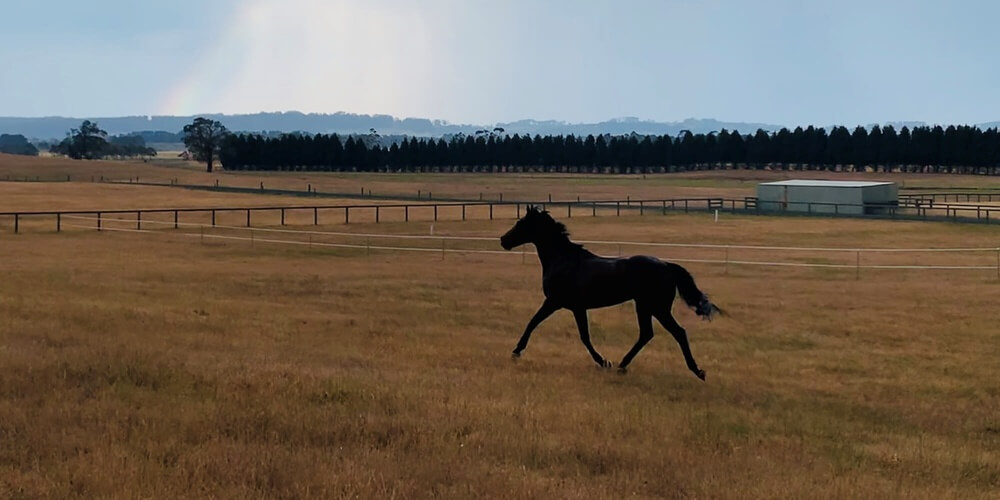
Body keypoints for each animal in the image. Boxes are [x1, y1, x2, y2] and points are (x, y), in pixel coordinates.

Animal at [498, 205, 720, 380]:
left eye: (521, 223)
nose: (503, 240)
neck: (563, 260)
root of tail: (667, 265)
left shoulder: (556, 302)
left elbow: (537, 324)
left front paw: (516, 351)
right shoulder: (576, 307)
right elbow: (582, 335)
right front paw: (605, 362)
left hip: (657, 307)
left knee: (677, 332)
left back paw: (697, 371)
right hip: (644, 306)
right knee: (647, 334)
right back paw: (622, 365)